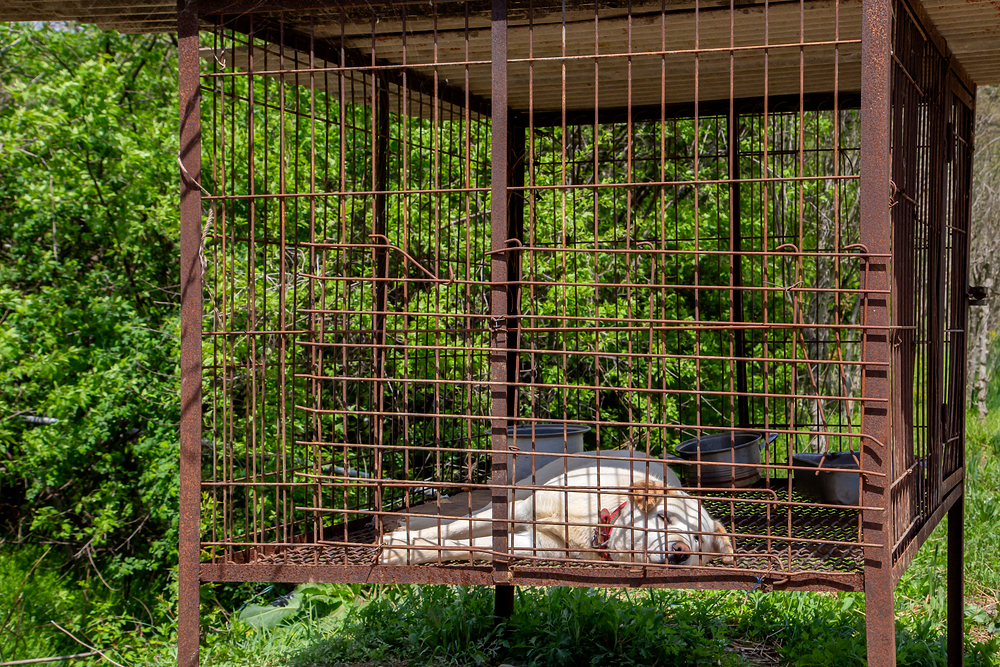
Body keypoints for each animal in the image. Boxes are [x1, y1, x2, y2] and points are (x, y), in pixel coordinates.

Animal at [380, 452, 736, 568]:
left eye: (698, 541)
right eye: (663, 517)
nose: (680, 550)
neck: (593, 525)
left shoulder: (534, 545)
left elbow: (467, 546)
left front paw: (402, 550)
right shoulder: (522, 509)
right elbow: (453, 528)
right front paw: (400, 545)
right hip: (527, 486)